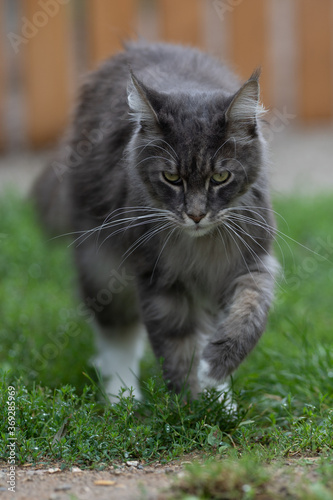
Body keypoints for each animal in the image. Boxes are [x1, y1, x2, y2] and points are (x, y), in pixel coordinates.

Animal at [33, 41, 278, 404]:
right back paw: (121, 399)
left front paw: (215, 372)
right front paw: (188, 405)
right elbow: (176, 347)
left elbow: (249, 314)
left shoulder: (251, 263)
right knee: (117, 337)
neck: (199, 246)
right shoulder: (158, 279)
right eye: (172, 178)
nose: (195, 215)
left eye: (220, 178)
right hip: (100, 266)